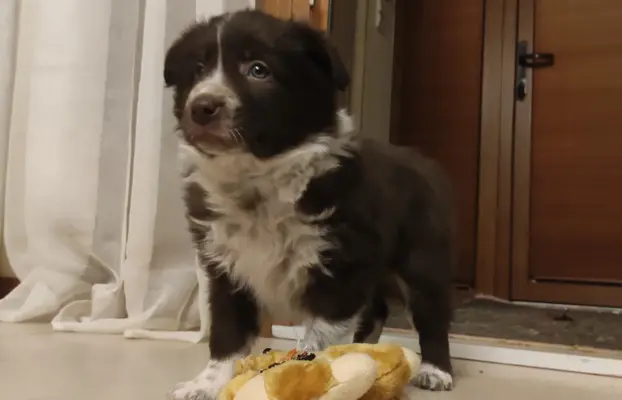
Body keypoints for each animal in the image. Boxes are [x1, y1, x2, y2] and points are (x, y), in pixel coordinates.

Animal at [165, 10, 458, 400]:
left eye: (258, 70)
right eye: (197, 71)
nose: (201, 107)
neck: (256, 179)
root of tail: (423, 161)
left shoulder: (339, 265)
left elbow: (320, 335)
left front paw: (312, 375)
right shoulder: (224, 266)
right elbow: (227, 332)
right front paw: (207, 384)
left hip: (421, 258)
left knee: (431, 314)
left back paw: (435, 371)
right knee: (377, 308)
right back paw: (368, 348)